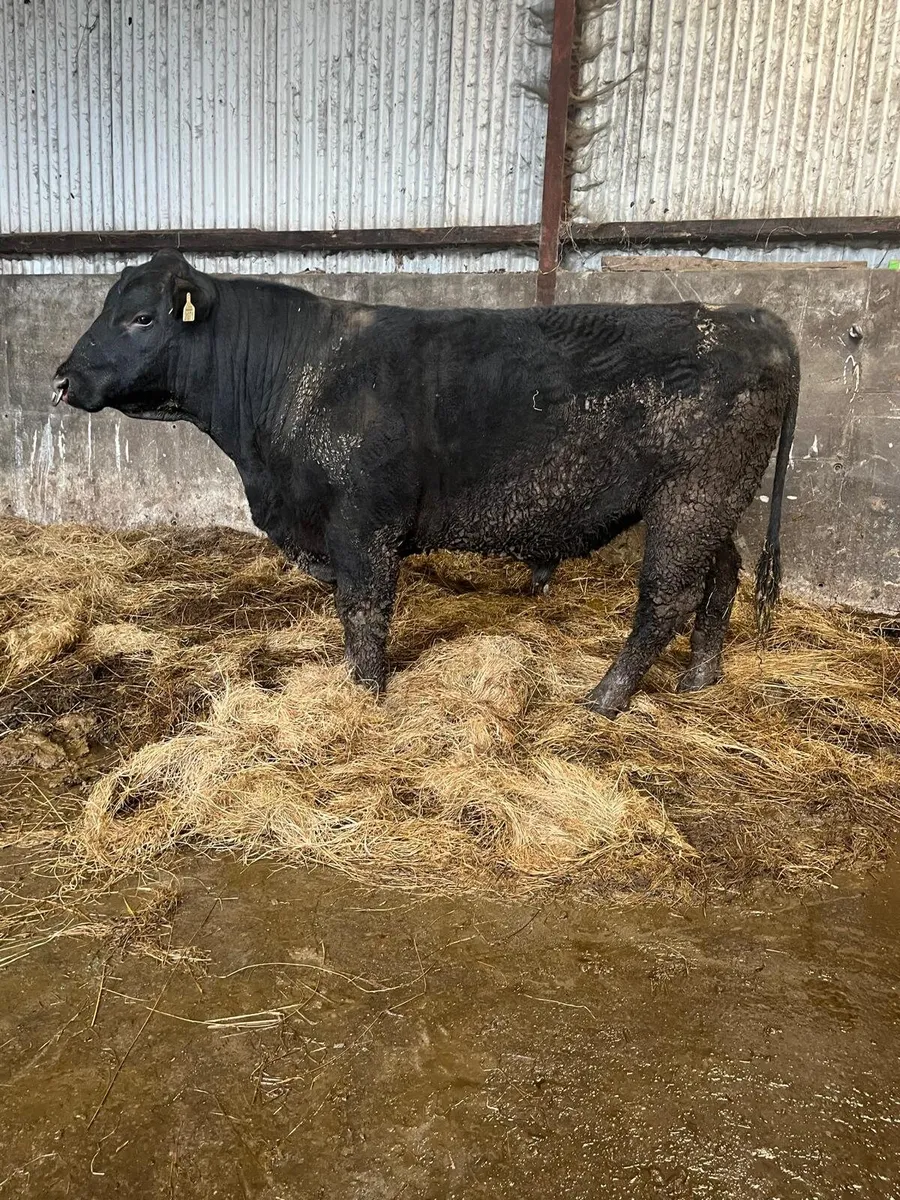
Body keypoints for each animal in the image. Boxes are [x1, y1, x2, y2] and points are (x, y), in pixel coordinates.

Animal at [53, 250, 799, 716]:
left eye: (142, 317)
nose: (63, 378)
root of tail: (747, 317)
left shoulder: (363, 524)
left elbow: (364, 610)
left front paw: (366, 693)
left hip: (690, 499)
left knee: (667, 598)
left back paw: (606, 697)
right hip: (714, 504)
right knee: (723, 576)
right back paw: (700, 675)